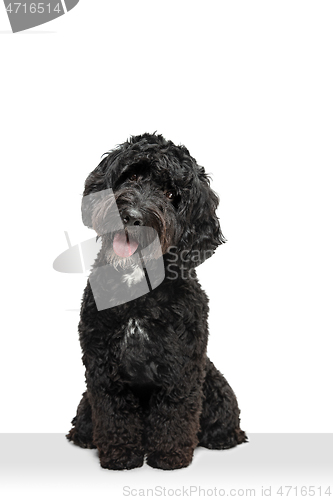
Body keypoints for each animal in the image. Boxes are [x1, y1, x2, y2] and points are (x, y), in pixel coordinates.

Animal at [66, 133, 245, 468]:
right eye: (133, 175)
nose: (132, 216)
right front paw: (121, 454)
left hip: (215, 384)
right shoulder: (102, 364)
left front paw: (169, 456)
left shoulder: (182, 363)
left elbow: (175, 409)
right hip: (85, 403)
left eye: (170, 193)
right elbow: (114, 411)